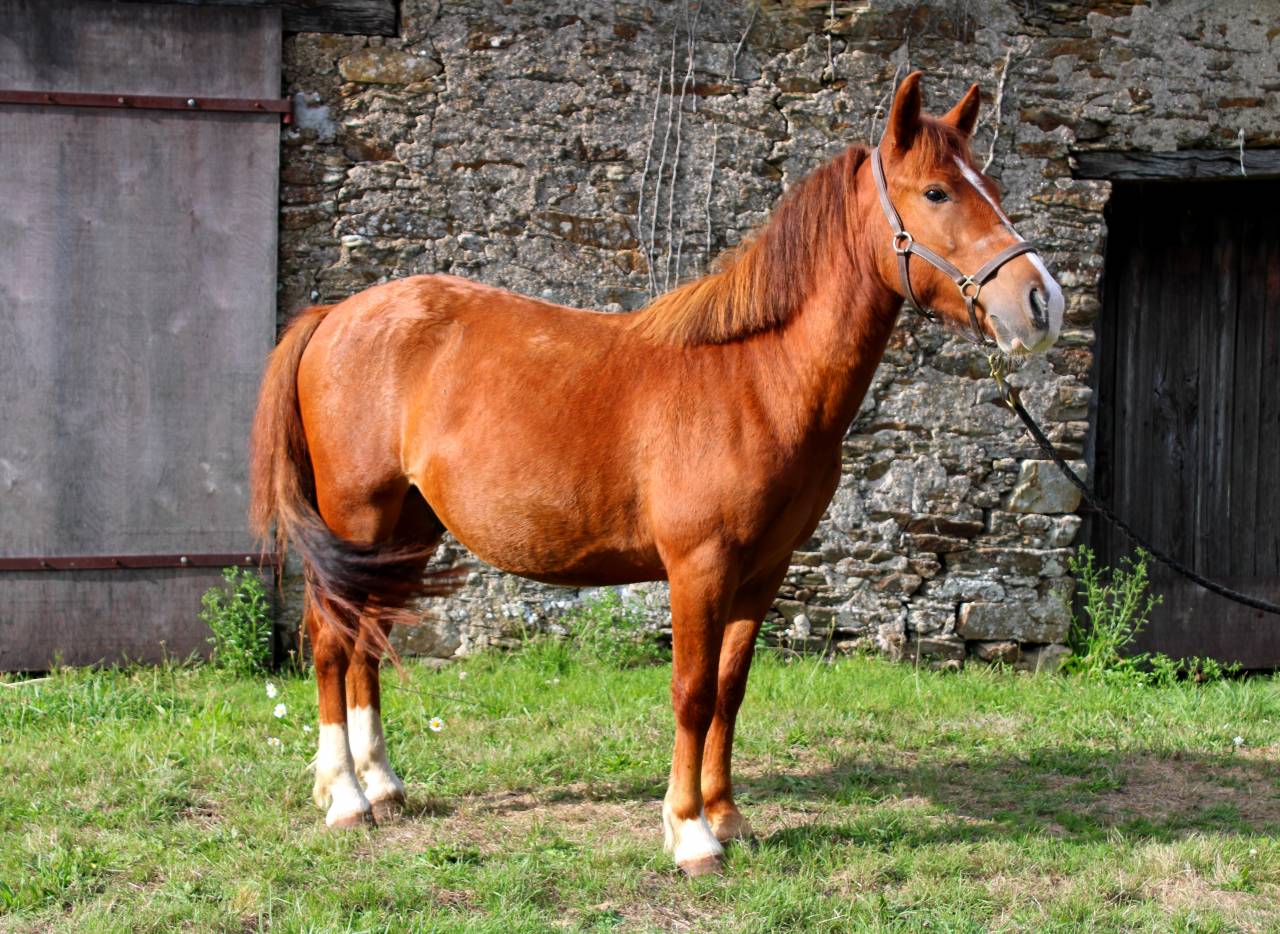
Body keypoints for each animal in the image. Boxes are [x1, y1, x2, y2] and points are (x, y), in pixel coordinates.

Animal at [248, 72, 1064, 876]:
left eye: (989, 183)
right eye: (936, 192)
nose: (1042, 301)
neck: (756, 376)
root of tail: (334, 314)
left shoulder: (762, 570)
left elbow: (731, 689)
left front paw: (728, 816)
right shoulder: (699, 565)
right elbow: (692, 693)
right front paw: (691, 833)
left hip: (405, 532)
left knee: (365, 637)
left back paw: (383, 786)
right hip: (358, 517)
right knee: (330, 638)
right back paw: (346, 797)